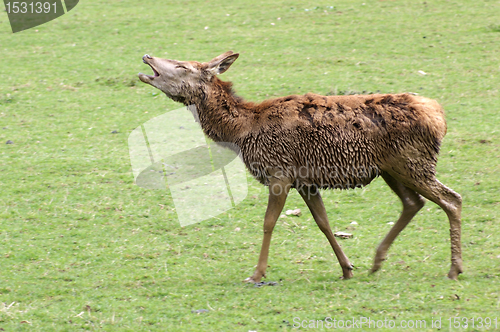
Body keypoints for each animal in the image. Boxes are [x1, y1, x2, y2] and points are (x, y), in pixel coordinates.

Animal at [139, 50, 462, 282]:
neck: (241, 131)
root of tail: (440, 118)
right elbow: (323, 222)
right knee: (413, 203)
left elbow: (269, 222)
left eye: (182, 66)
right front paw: (347, 268)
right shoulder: (306, 181)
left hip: (413, 162)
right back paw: (377, 261)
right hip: (391, 169)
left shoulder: (279, 172)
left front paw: (257, 273)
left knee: (452, 199)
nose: (147, 57)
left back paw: (454, 268)